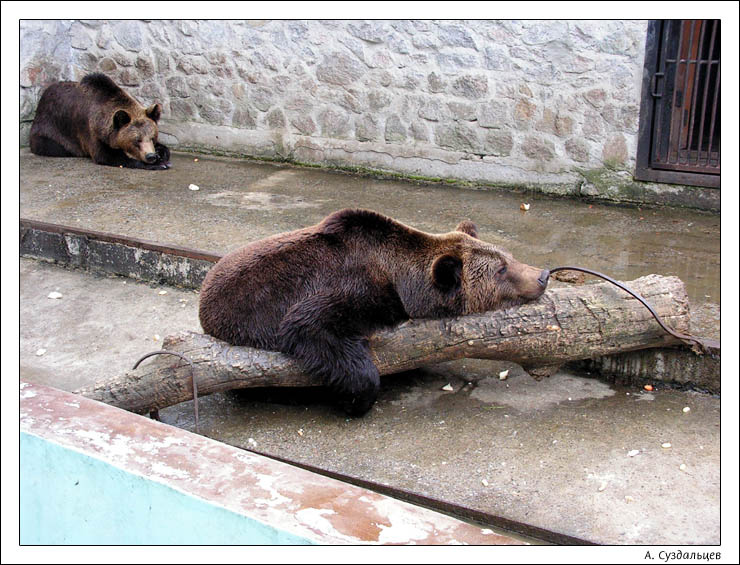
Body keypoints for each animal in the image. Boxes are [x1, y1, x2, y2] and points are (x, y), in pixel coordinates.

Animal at [29, 73, 171, 170]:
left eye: (152, 137)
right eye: (137, 140)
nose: (150, 156)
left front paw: (161, 153)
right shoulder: (90, 131)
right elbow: (107, 155)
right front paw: (159, 164)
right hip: (49, 128)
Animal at [199, 209, 550, 416]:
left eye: (509, 256)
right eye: (501, 270)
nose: (543, 275)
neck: (401, 280)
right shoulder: (349, 288)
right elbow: (311, 326)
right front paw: (356, 397)